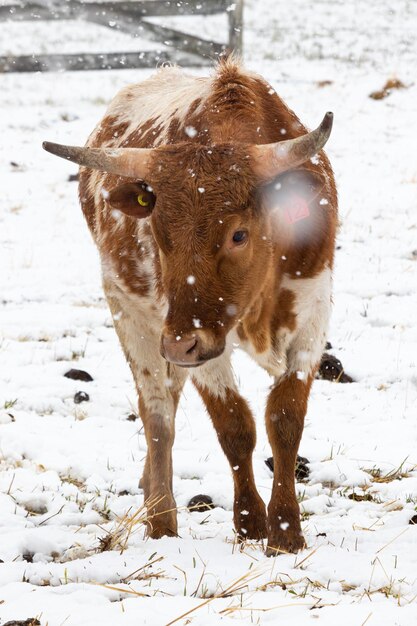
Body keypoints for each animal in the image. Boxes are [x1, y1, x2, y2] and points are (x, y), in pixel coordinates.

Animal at [43, 58, 334, 552]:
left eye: (238, 234)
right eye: (159, 235)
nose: (180, 346)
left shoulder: (314, 314)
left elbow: (285, 418)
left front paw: (286, 532)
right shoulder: (197, 340)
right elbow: (235, 425)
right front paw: (251, 523)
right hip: (136, 318)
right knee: (158, 412)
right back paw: (161, 517)